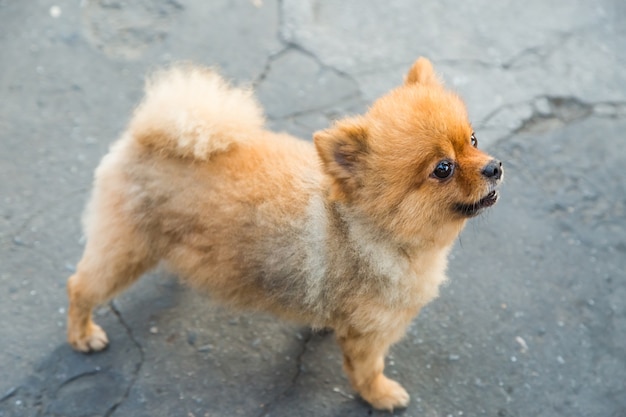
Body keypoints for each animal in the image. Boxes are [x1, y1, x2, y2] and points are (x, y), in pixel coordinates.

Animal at [66, 58, 500, 410]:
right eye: (442, 168)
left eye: (473, 140)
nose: (494, 166)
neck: (366, 229)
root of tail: (143, 137)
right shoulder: (369, 335)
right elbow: (367, 371)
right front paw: (380, 396)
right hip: (127, 250)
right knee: (80, 286)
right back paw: (82, 335)